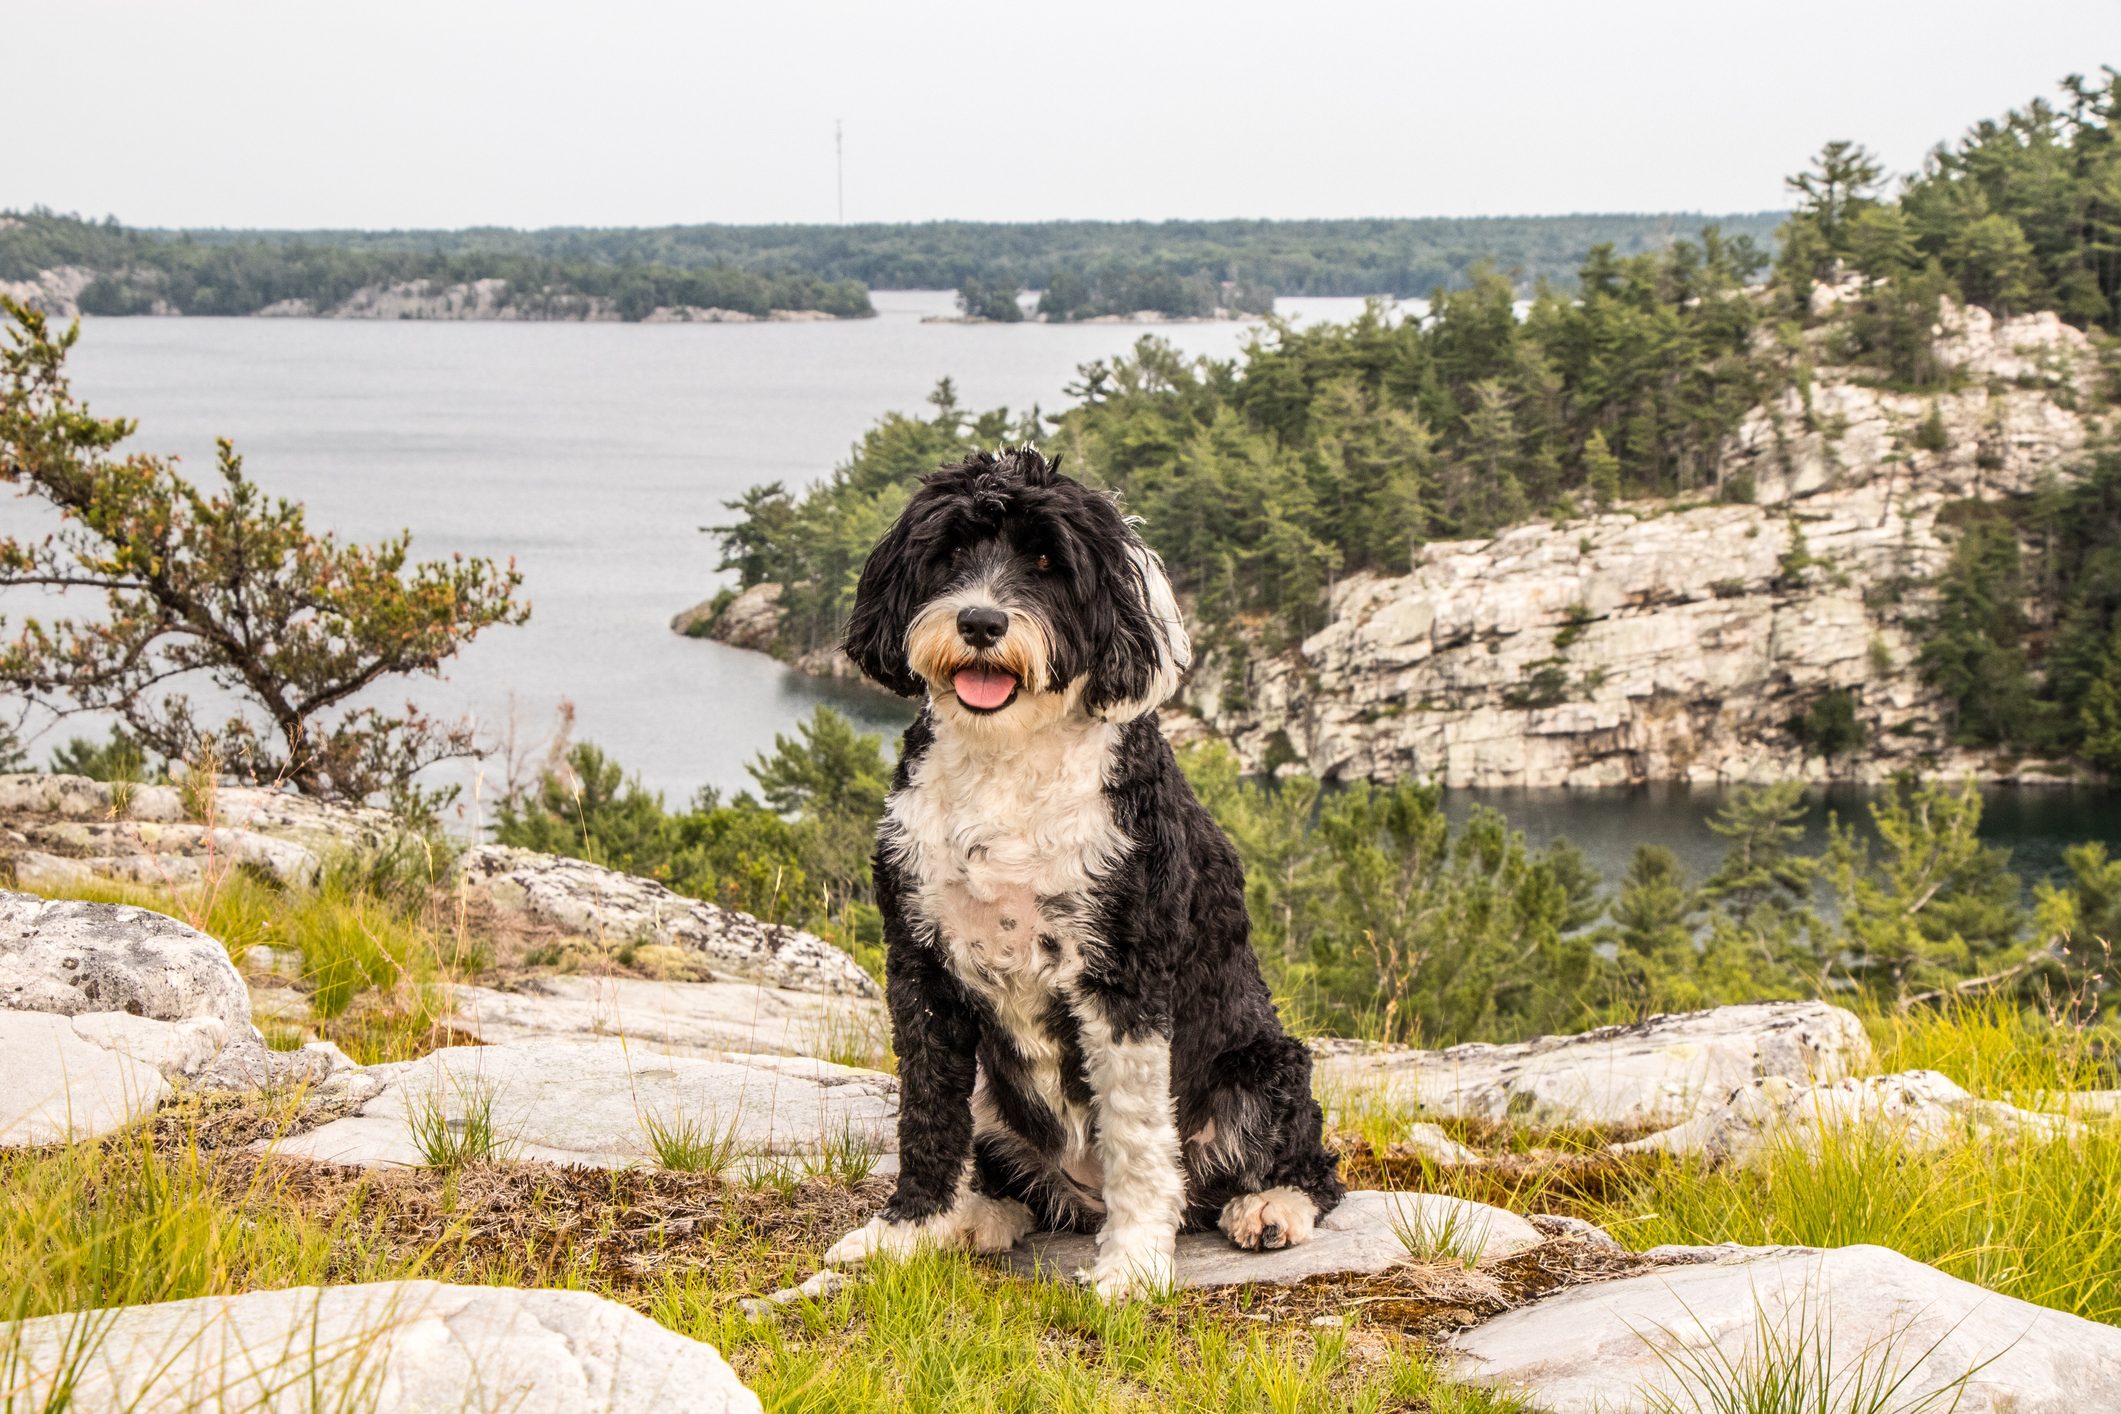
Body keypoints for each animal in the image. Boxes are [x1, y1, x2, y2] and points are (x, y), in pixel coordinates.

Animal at [822, 447, 1340, 1297]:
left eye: (1046, 562)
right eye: (951, 552)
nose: (981, 621)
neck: (1007, 758)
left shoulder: (1121, 974)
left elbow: (1135, 1133)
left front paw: (1130, 1265)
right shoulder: (920, 964)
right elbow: (925, 1112)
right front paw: (906, 1231)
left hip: (1259, 1066)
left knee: (1303, 1166)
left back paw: (1270, 1208)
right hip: (997, 1099)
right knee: (1016, 1183)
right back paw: (978, 1218)